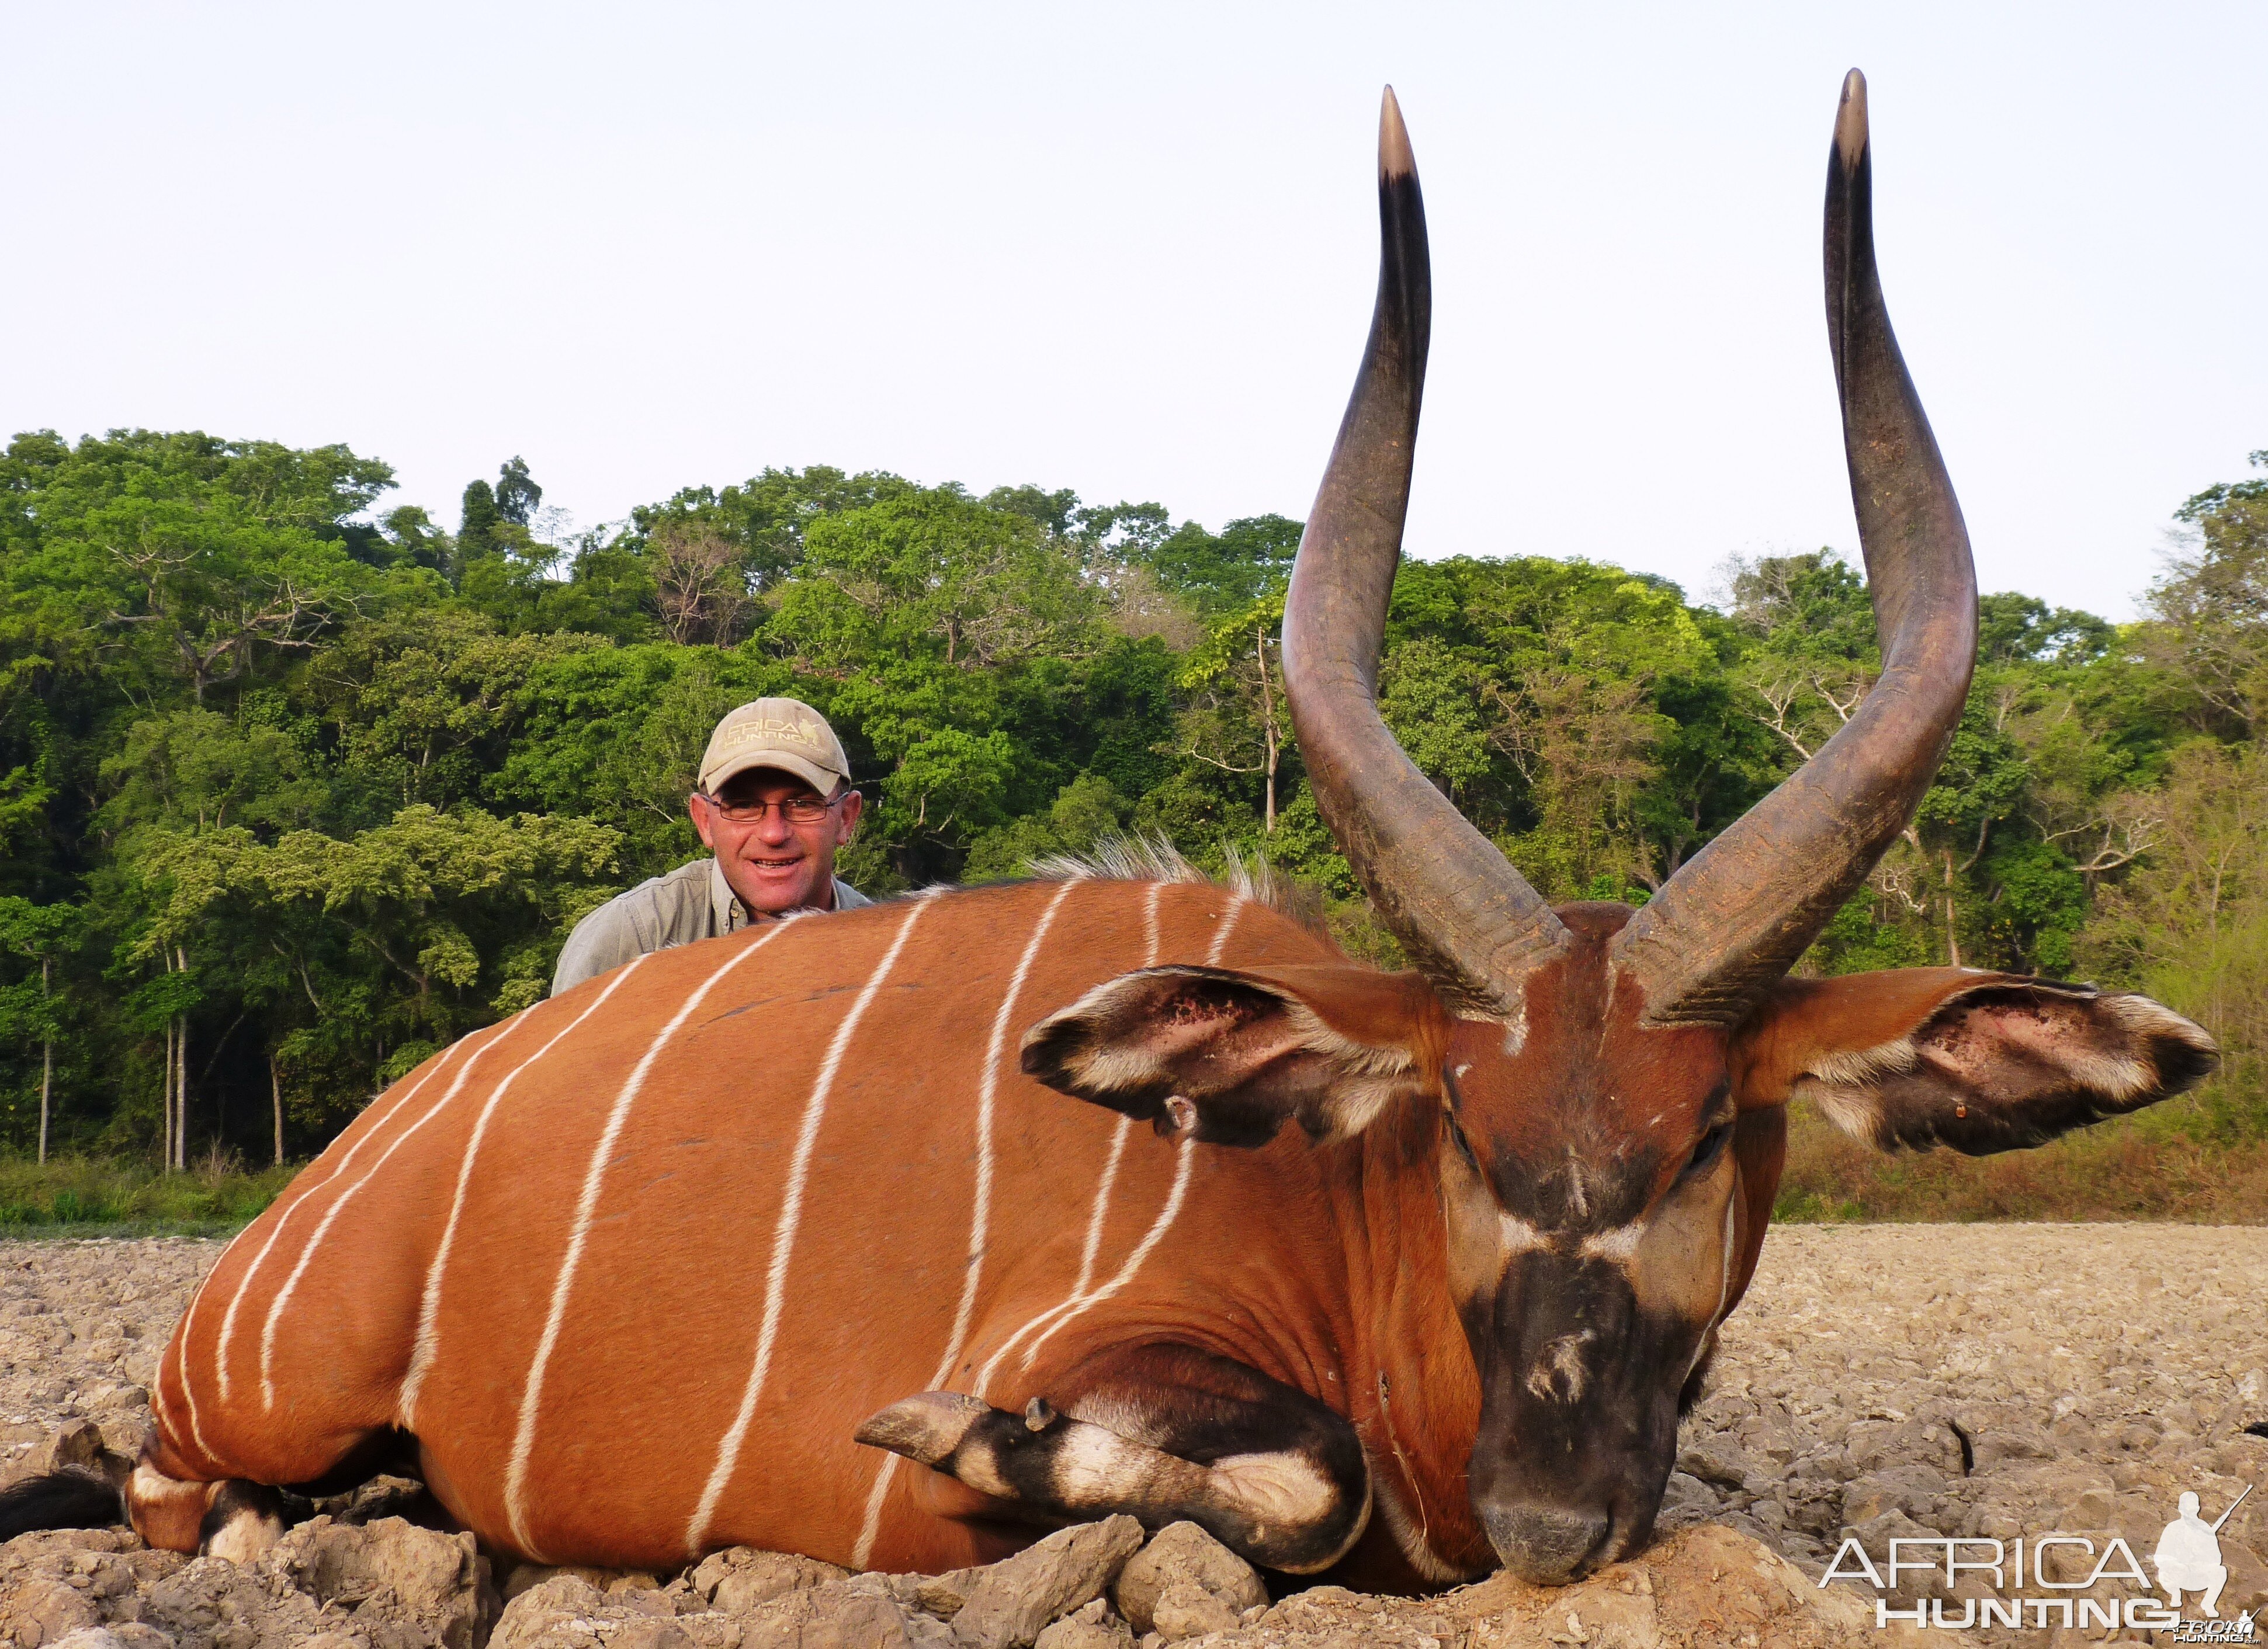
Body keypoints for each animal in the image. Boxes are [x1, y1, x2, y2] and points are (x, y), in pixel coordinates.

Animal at [4, 74, 2213, 1588]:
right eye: (1464, 1125)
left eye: (1698, 1136)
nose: (1545, 1515)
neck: (1344, 1213)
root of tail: (349, 1160)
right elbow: (1288, 1470)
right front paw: (960, 1433)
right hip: (250, 1398)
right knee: (165, 1487)